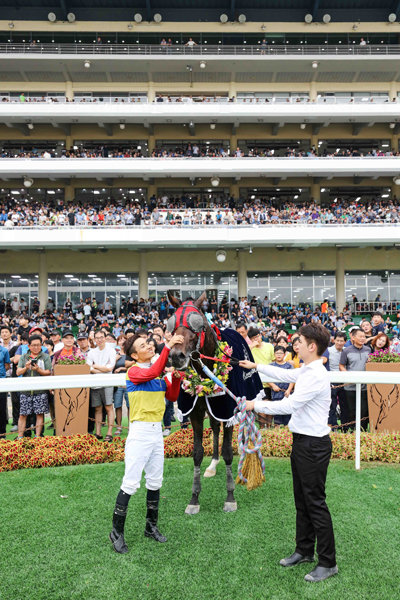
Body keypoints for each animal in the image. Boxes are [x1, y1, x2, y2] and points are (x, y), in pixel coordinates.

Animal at [165, 290, 262, 510]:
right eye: (171, 326)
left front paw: (230, 496)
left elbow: (228, 450)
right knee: (215, 428)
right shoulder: (195, 411)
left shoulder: (228, 409)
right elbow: (197, 452)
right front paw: (194, 498)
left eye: (198, 325)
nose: (176, 356)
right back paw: (213, 464)